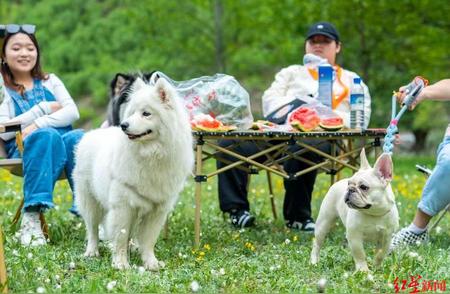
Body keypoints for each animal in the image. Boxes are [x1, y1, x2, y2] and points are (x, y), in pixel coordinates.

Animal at [74, 77, 193, 270]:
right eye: (132, 113)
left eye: (146, 113)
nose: (124, 125)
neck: (151, 154)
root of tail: (91, 134)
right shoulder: (123, 206)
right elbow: (120, 237)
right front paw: (121, 264)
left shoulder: (157, 209)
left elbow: (148, 240)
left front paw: (151, 263)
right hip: (90, 201)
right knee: (92, 229)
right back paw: (92, 252)